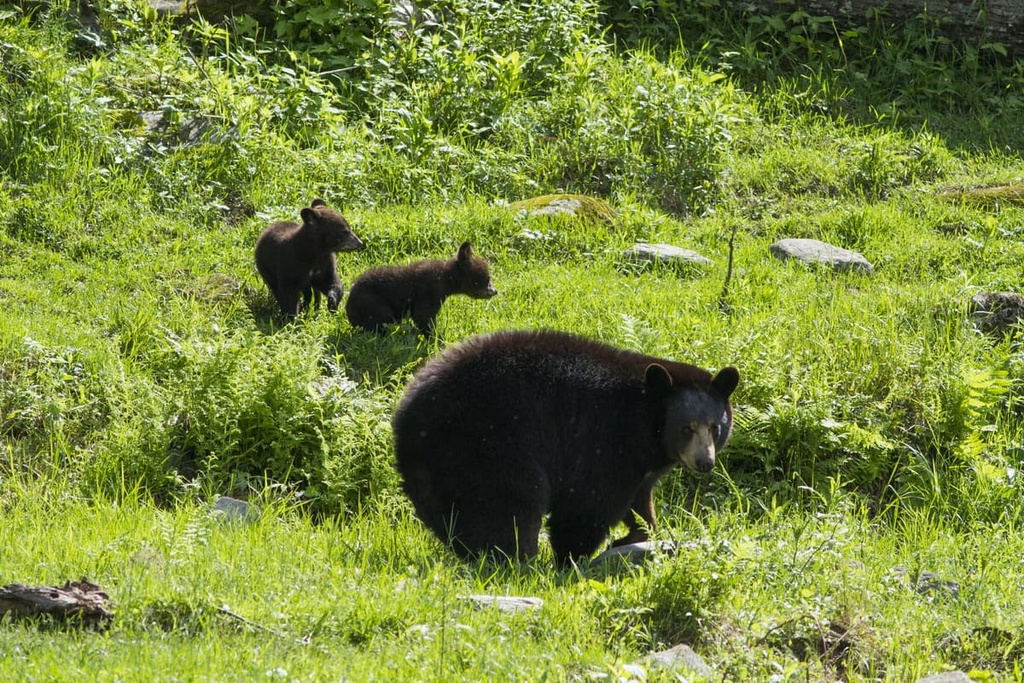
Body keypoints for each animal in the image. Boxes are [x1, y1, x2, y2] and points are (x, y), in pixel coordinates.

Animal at [345, 241, 497, 336]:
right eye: (487, 278)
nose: (495, 291)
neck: (446, 279)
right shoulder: (428, 293)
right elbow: (422, 316)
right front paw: (435, 337)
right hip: (374, 306)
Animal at [391, 329, 739, 565]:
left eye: (715, 427)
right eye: (686, 428)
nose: (705, 462)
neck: (645, 419)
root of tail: (406, 418)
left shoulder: (642, 463)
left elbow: (640, 501)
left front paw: (641, 533)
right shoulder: (605, 438)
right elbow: (588, 501)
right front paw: (573, 558)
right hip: (485, 445)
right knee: (510, 501)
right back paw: (515, 559)